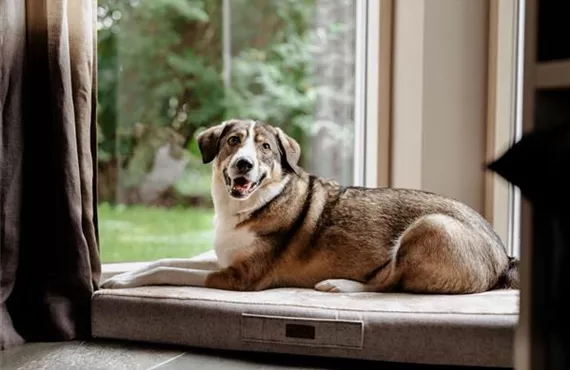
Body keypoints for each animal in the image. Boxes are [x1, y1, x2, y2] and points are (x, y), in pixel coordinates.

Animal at [100, 120, 516, 294]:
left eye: (265, 148)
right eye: (233, 141)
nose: (244, 165)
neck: (251, 206)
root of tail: (503, 257)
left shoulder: (239, 277)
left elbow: (166, 270)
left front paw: (121, 280)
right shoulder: (223, 259)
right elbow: (161, 260)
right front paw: (119, 274)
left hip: (430, 225)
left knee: (386, 284)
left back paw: (339, 284)